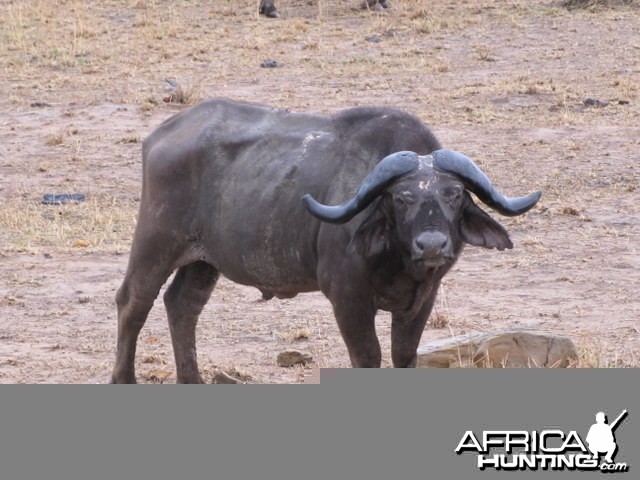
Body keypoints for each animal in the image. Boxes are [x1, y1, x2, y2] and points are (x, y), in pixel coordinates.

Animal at [110, 97, 540, 382]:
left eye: (453, 195)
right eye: (401, 198)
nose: (432, 245)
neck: (399, 263)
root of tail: (160, 135)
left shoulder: (422, 300)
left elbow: (404, 355)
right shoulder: (347, 298)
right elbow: (368, 356)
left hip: (203, 261)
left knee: (183, 305)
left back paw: (192, 379)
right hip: (156, 242)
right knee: (133, 301)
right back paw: (124, 377)